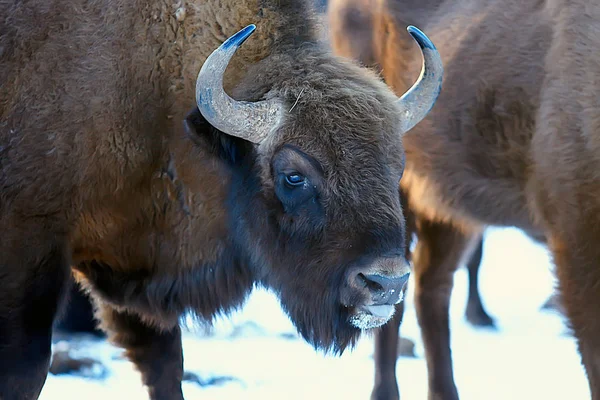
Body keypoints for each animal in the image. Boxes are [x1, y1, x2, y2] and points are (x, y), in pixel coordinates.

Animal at [0, 0, 440, 396]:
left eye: (397, 166)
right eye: (293, 176)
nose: (386, 281)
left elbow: (163, 362)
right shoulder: (31, 241)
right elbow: (26, 367)